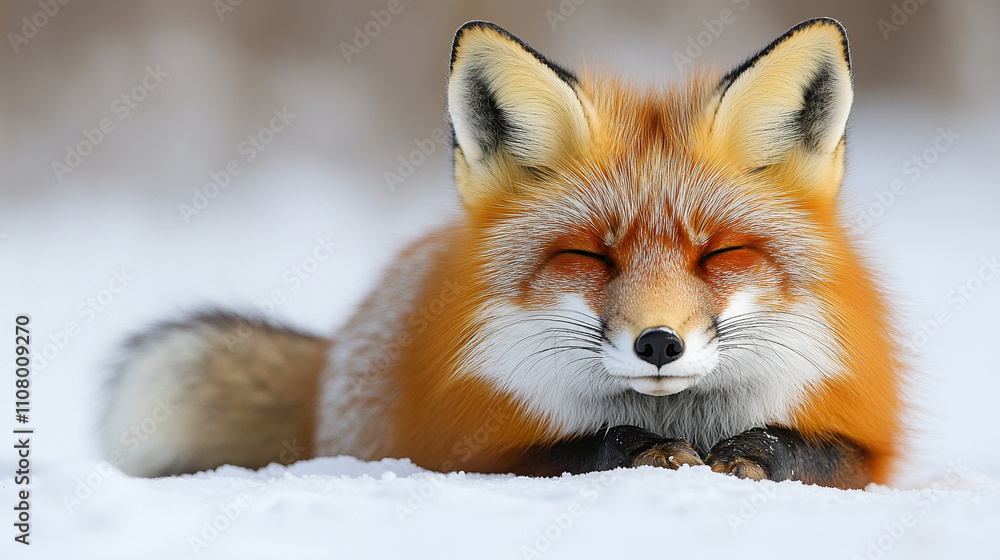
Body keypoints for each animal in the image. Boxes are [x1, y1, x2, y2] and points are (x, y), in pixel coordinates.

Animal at [102, 18, 905, 489]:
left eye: (720, 253)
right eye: (589, 256)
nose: (658, 343)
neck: (684, 421)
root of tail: (334, 359)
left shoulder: (868, 447)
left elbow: (821, 453)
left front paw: (761, 452)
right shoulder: (466, 449)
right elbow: (559, 454)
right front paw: (630, 451)